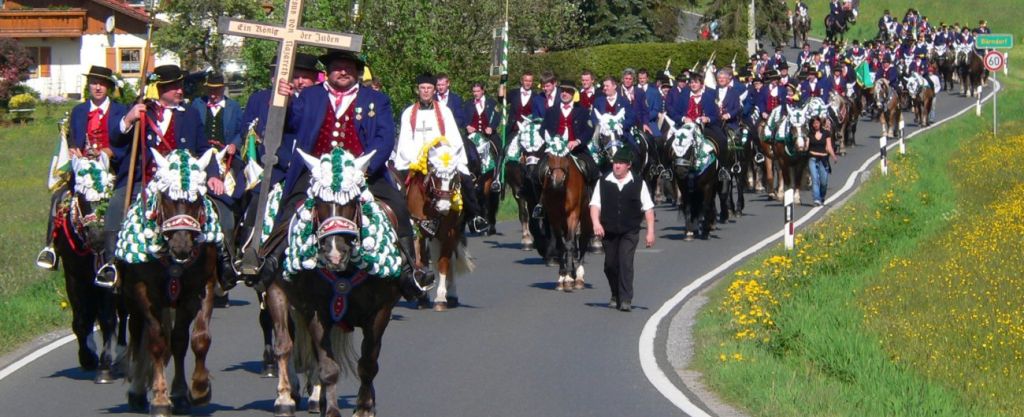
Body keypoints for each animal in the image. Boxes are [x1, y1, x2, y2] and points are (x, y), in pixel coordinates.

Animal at [52, 154, 125, 385]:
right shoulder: (74, 277)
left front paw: (105, 364)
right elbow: (82, 321)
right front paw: (87, 358)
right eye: (81, 196)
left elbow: (108, 319)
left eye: (107, 192)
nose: (97, 237)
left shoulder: (107, 275)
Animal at [120, 148, 223, 415]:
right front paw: (160, 398)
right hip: (132, 302)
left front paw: (196, 390)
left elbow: (193, 339)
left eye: (197, 198)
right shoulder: (145, 293)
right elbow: (156, 342)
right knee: (138, 336)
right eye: (166, 197)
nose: (182, 246)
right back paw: (137, 392)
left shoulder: (199, 288)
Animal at [264, 148, 403, 415]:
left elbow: (368, 363)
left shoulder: (380, 312)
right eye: (318, 203)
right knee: (290, 345)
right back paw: (290, 397)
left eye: (353, 202)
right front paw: (329, 409)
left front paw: (364, 407)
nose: (334, 253)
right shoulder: (316, 310)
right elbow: (326, 365)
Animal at [403, 138, 475, 311]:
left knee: (451, 262)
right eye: (435, 176)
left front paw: (441, 298)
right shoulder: (419, 230)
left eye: (454, 177)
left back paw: (452, 295)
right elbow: (420, 261)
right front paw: (422, 295)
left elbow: (443, 263)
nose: (444, 207)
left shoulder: (449, 232)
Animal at [536, 135, 593, 293]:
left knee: (583, 241)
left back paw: (578, 277)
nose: (557, 181)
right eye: (549, 155)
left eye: (566, 155)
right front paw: (562, 277)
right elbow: (562, 245)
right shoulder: (554, 217)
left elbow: (570, 244)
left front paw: (568, 278)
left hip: (586, 218)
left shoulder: (573, 215)